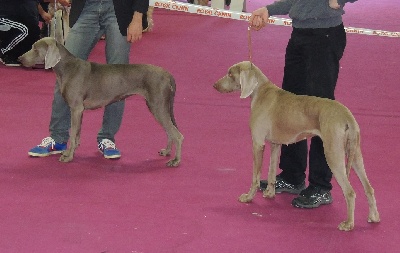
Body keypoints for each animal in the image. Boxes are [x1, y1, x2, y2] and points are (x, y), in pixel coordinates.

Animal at [214, 61, 380, 231]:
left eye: (230, 74)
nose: (214, 85)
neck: (260, 91)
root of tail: (348, 117)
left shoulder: (258, 144)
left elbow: (255, 177)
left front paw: (248, 197)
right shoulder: (275, 144)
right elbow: (271, 172)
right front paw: (269, 193)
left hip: (333, 154)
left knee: (350, 192)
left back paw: (348, 224)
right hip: (355, 154)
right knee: (369, 188)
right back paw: (374, 217)